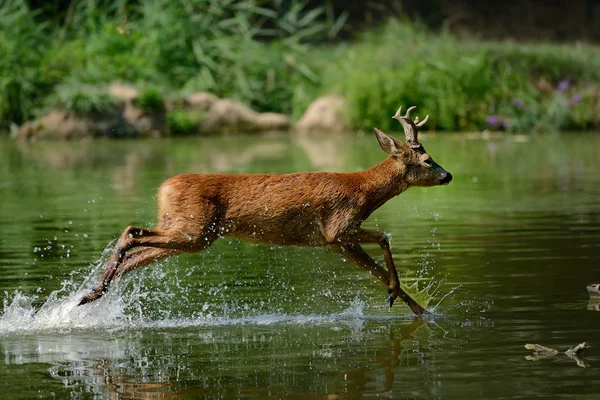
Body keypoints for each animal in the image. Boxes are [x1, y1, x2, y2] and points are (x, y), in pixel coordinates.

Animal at [81, 106, 454, 316]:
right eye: (426, 160)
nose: (448, 175)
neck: (363, 190)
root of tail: (163, 188)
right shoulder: (338, 227)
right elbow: (385, 237)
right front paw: (399, 296)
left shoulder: (338, 243)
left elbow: (375, 269)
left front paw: (420, 310)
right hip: (194, 229)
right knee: (131, 235)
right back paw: (91, 294)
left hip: (185, 229)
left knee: (134, 248)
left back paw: (90, 295)